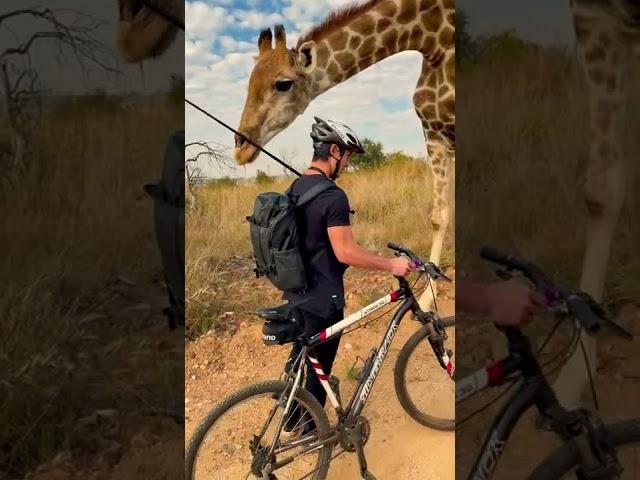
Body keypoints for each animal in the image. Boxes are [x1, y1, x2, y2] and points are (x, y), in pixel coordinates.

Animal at [235, 0, 456, 312]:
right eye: (249, 83)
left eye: (283, 84)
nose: (240, 146)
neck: (432, 37)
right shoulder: (433, 131)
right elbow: (440, 216)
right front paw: (427, 299)